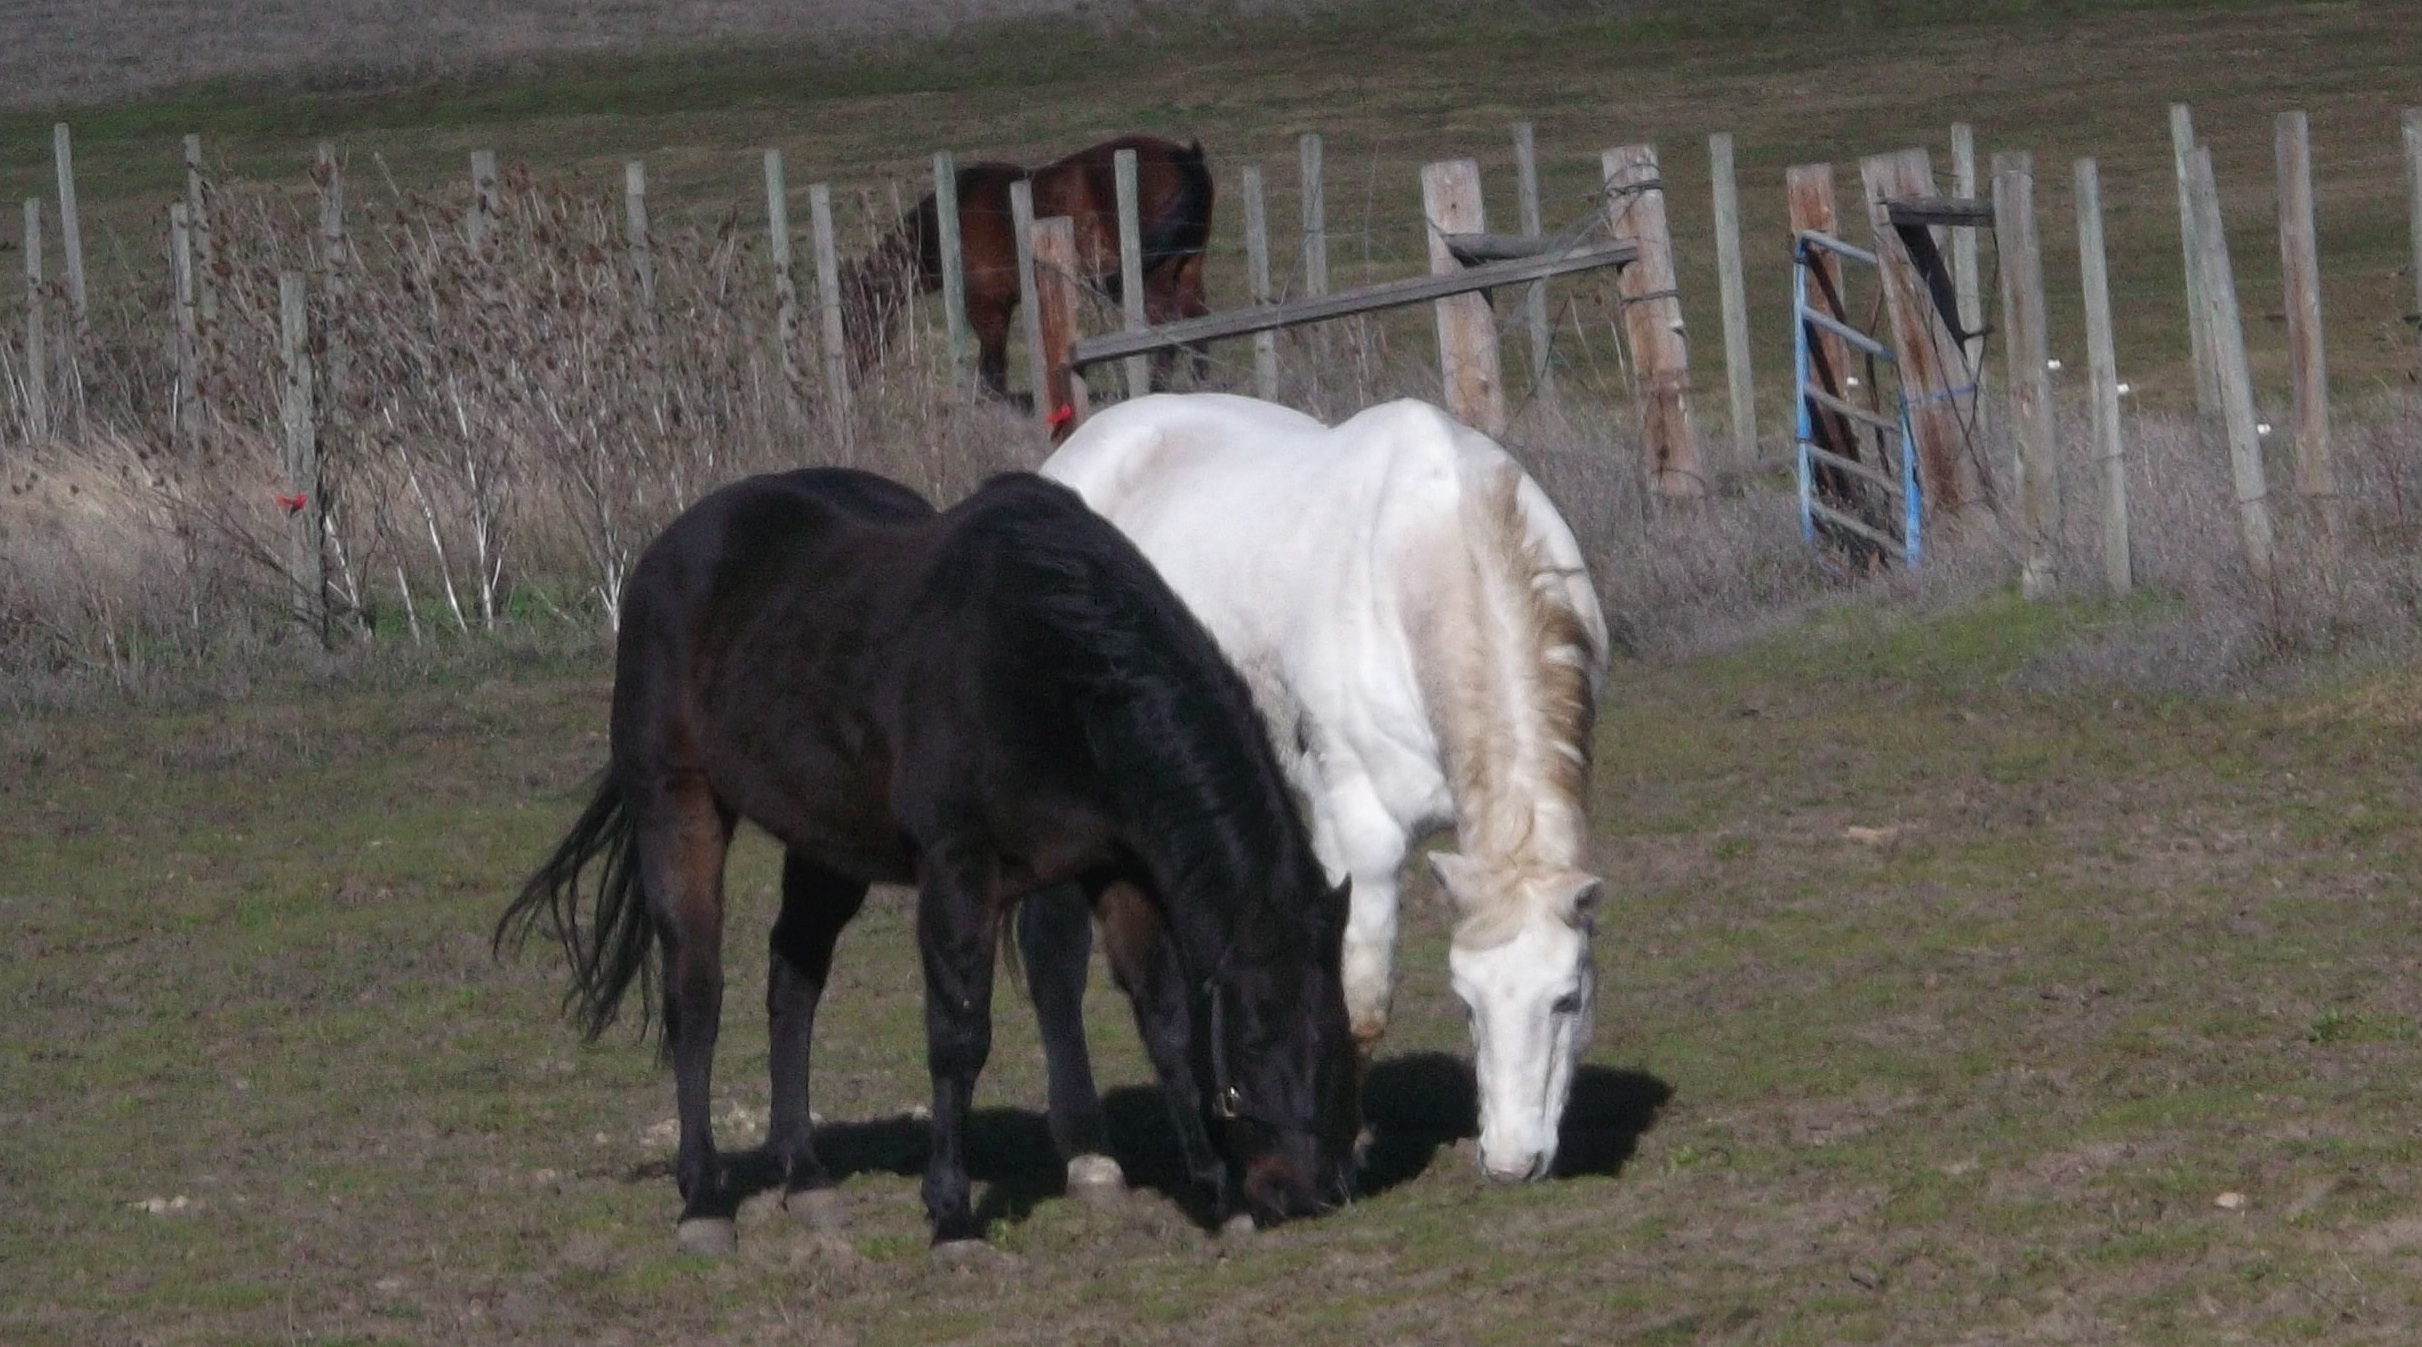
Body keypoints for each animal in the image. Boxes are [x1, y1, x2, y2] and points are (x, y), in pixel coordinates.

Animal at [497, 467, 1359, 1256]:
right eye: (1255, 1030)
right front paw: (952, 1214)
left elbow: (1169, 1024)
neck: (1053, 668)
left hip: (827, 843)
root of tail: (663, 555)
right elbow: (958, 1037)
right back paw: (704, 1197)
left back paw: (805, 1176)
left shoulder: (1120, 867)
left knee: (793, 982)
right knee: (695, 993)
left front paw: (1215, 1189)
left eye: (1337, 1030)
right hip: (678, 807)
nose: (1301, 1189)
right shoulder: (959, 870)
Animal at [841, 134, 1214, 400]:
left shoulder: (989, 309)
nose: (851, 375)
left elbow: (993, 374)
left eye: (853, 320)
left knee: (1167, 333)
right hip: (1189, 272)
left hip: (1156, 281)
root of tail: (1186, 157)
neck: (954, 220)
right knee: (1198, 329)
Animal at [1024, 394, 1610, 1187]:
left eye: (1568, 998)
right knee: (1052, 957)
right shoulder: (1360, 834)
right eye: (1465, 1001)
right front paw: (1344, 1150)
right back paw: (1090, 1153)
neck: (1432, 555)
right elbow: (1358, 1000)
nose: (1513, 1161)